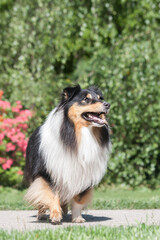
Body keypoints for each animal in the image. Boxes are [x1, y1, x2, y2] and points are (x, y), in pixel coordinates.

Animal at [24, 84, 111, 223]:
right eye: (86, 99)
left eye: (99, 98)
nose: (108, 104)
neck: (79, 132)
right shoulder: (48, 172)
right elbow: (51, 194)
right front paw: (55, 216)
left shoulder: (83, 174)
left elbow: (78, 200)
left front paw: (77, 218)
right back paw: (42, 214)